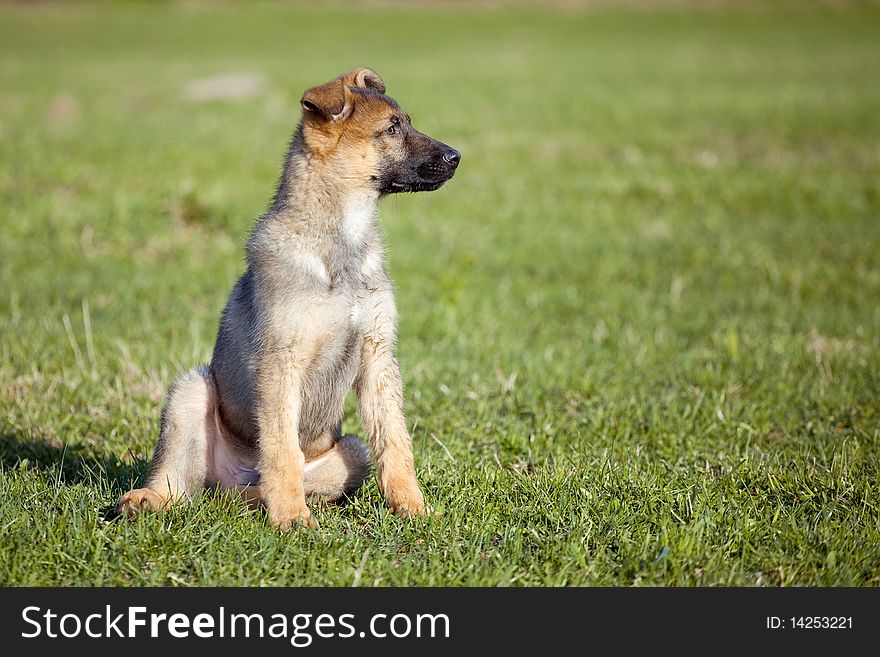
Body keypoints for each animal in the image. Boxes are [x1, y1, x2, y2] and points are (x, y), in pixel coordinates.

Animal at [118, 68, 460, 528]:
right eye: (391, 129)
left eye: (405, 123)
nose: (456, 156)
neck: (340, 245)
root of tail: (231, 480)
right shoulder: (281, 359)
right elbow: (281, 448)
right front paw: (293, 520)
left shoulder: (378, 355)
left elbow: (396, 442)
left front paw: (413, 507)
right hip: (191, 389)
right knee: (179, 482)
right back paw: (147, 499)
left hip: (351, 451)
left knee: (249, 489)